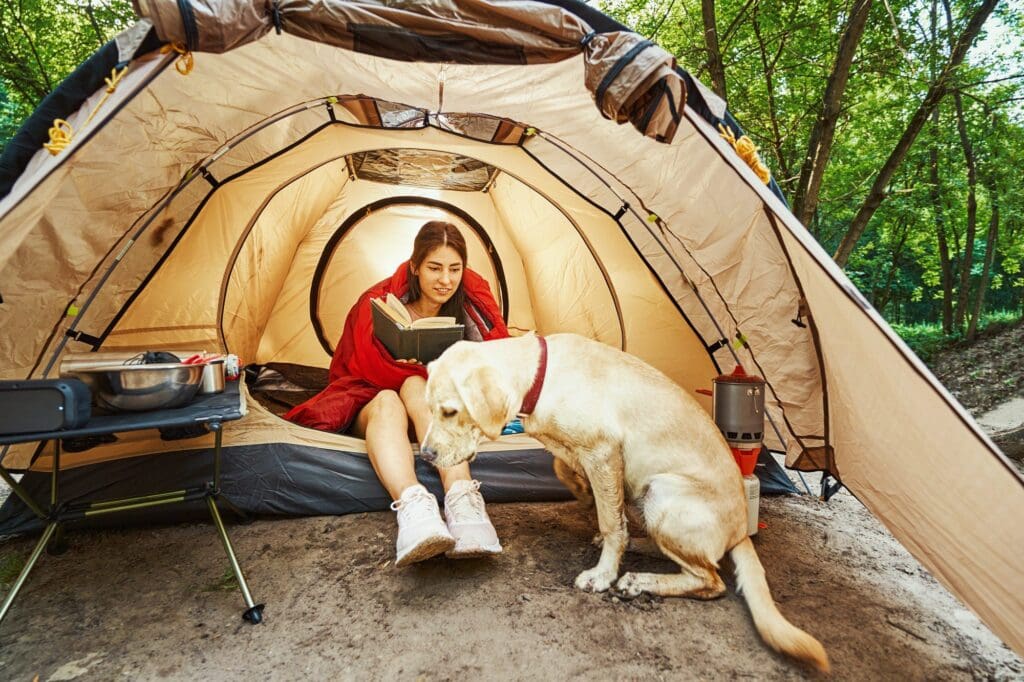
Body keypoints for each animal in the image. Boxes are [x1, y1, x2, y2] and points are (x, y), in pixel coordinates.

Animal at [419, 329, 827, 667]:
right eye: (429, 409)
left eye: (450, 411)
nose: (424, 455)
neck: (543, 378)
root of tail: (742, 531)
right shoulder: (583, 453)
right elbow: (565, 472)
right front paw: (582, 492)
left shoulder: (602, 452)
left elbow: (612, 523)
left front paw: (602, 574)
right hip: (651, 499)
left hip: (665, 494)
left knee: (711, 580)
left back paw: (638, 581)